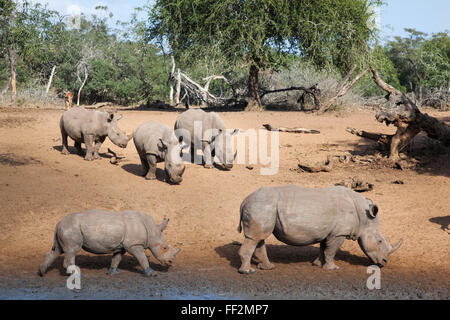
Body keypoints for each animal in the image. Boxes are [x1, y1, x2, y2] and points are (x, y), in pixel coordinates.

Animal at [37, 211, 181, 276]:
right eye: (164, 248)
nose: (170, 263)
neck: (151, 230)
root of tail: (58, 222)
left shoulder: (122, 246)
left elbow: (117, 258)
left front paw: (113, 272)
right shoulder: (134, 245)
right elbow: (142, 258)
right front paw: (151, 273)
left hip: (66, 228)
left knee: (58, 250)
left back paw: (42, 272)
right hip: (71, 228)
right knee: (71, 251)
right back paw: (77, 274)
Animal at [237, 186, 402, 274]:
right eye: (379, 241)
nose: (384, 262)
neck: (364, 218)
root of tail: (244, 200)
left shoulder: (329, 231)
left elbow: (324, 248)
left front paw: (317, 264)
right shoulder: (339, 233)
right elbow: (331, 250)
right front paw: (332, 268)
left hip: (263, 208)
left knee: (258, 238)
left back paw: (268, 268)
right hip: (261, 206)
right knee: (255, 238)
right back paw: (248, 272)